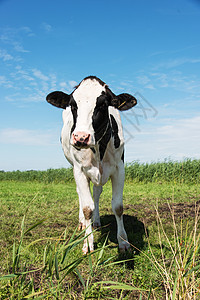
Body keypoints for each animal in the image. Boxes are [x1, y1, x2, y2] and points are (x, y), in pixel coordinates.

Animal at [46, 76, 137, 254]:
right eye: (73, 105)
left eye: (102, 104)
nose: (81, 137)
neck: (99, 149)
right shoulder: (80, 170)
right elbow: (87, 207)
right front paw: (88, 243)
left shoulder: (119, 169)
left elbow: (118, 206)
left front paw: (123, 242)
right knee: (81, 195)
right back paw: (83, 222)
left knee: (96, 193)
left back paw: (96, 221)